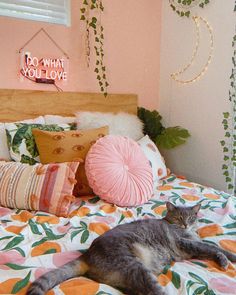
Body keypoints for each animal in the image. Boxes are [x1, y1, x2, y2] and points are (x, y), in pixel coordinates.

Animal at [26, 204, 236, 295]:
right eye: (178, 218)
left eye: (191, 218)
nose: (186, 224)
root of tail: (87, 254)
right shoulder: (185, 242)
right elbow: (213, 247)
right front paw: (229, 257)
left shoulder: (192, 246)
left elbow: (210, 246)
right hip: (133, 264)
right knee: (154, 291)